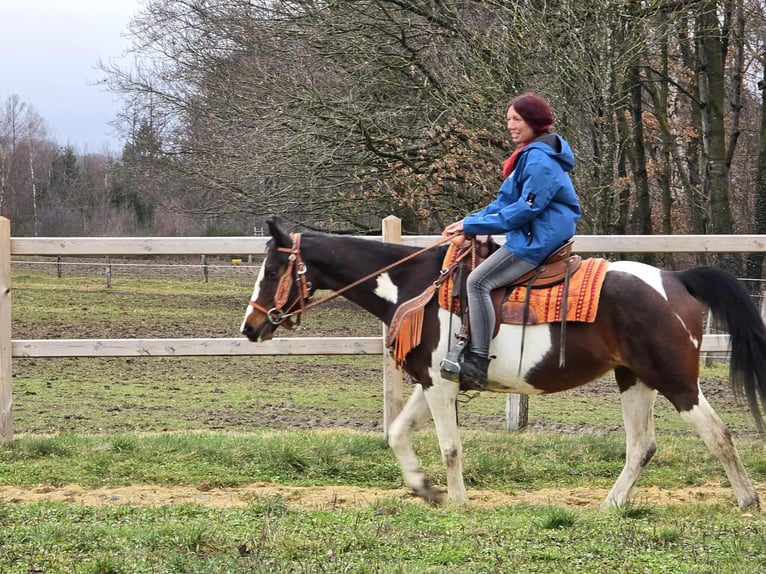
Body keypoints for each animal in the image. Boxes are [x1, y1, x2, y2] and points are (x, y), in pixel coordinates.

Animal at [241, 216, 766, 509]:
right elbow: (397, 434)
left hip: (675, 379)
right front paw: (424, 489)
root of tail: (676, 279)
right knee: (642, 446)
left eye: (272, 269)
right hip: (633, 379)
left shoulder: (441, 387)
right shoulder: (432, 381)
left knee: (718, 434)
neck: (417, 287)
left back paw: (746, 500)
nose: (251, 327)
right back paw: (610, 504)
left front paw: (456, 501)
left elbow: (450, 447)